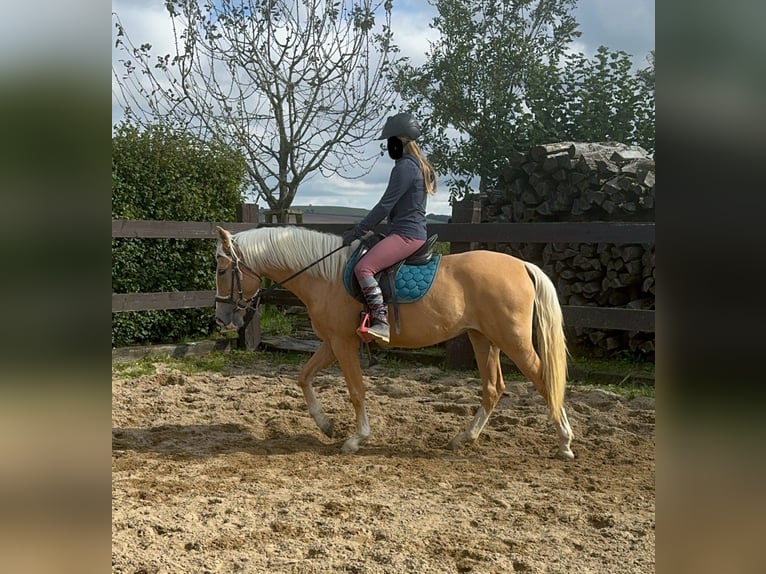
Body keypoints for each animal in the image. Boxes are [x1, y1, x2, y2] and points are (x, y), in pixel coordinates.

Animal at [213, 227, 572, 462]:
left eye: (221, 270)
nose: (221, 317)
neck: (325, 275)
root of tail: (522, 266)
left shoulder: (343, 343)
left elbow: (356, 391)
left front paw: (356, 439)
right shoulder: (332, 342)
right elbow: (303, 377)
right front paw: (326, 425)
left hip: (513, 341)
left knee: (544, 381)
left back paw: (565, 443)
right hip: (484, 338)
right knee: (493, 388)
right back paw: (464, 437)